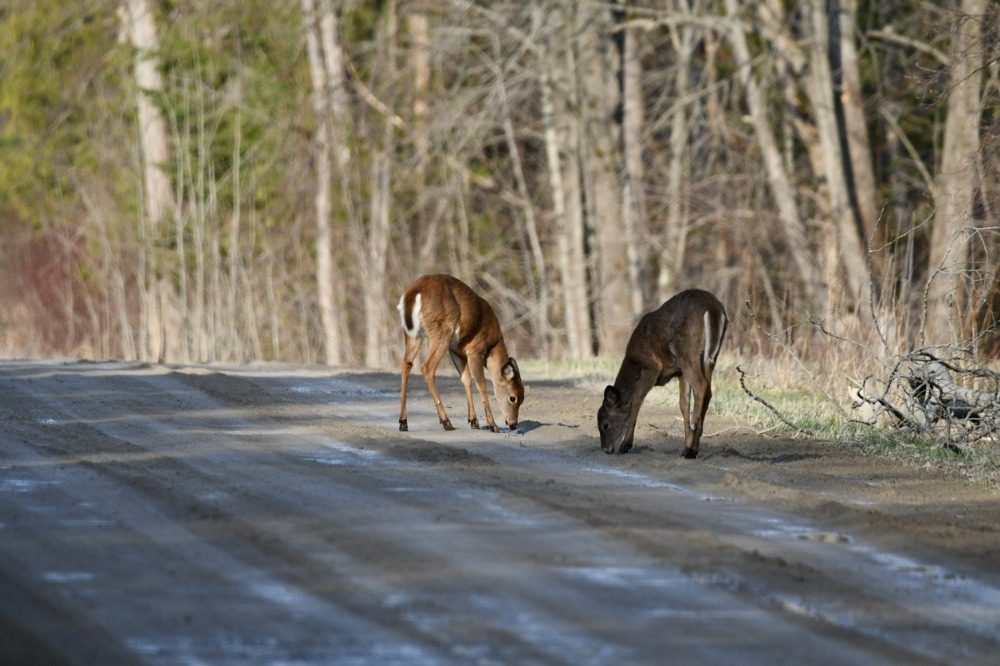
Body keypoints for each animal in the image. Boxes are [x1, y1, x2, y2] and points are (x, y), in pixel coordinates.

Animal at [396, 274, 528, 434]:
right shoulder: (475, 350)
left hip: (413, 335)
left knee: (406, 362)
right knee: (427, 367)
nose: (513, 424)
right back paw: (446, 422)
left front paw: (473, 420)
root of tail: (414, 292)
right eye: (513, 398)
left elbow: (466, 380)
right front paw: (493, 425)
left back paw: (403, 422)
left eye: (522, 398)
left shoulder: (456, 351)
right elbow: (481, 385)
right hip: (441, 331)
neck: (492, 344)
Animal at [592, 290, 728, 456]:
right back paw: (692, 448)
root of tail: (713, 309)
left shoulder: (651, 367)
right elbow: (683, 404)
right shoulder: (679, 372)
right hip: (709, 357)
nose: (606, 449)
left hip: (687, 353)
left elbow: (636, 400)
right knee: (708, 391)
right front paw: (686, 444)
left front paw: (626, 445)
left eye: (605, 425)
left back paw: (691, 450)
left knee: (701, 387)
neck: (634, 360)